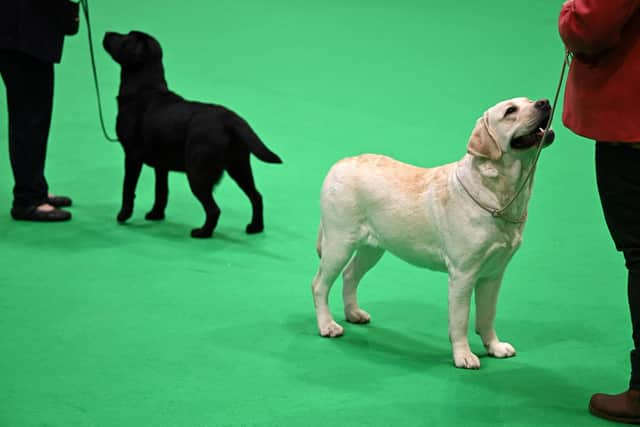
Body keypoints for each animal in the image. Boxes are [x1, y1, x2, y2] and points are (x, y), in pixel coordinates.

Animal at [103, 30, 282, 237]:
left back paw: (202, 232)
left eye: (126, 38)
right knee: (256, 196)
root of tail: (229, 118)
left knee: (214, 209)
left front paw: (123, 215)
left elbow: (128, 188)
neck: (144, 88)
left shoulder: (132, 156)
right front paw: (156, 214)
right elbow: (161, 191)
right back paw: (255, 227)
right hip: (239, 167)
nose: (107, 32)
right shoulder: (161, 164)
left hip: (198, 173)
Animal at [312, 98, 556, 370]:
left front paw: (495, 347)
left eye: (529, 100)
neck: (499, 194)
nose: (545, 102)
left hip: (373, 248)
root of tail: (339, 164)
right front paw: (463, 356)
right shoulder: (463, 274)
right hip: (339, 242)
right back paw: (327, 325)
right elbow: (460, 320)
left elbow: (487, 314)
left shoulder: (493, 274)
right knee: (319, 284)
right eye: (510, 111)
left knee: (349, 275)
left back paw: (354, 313)